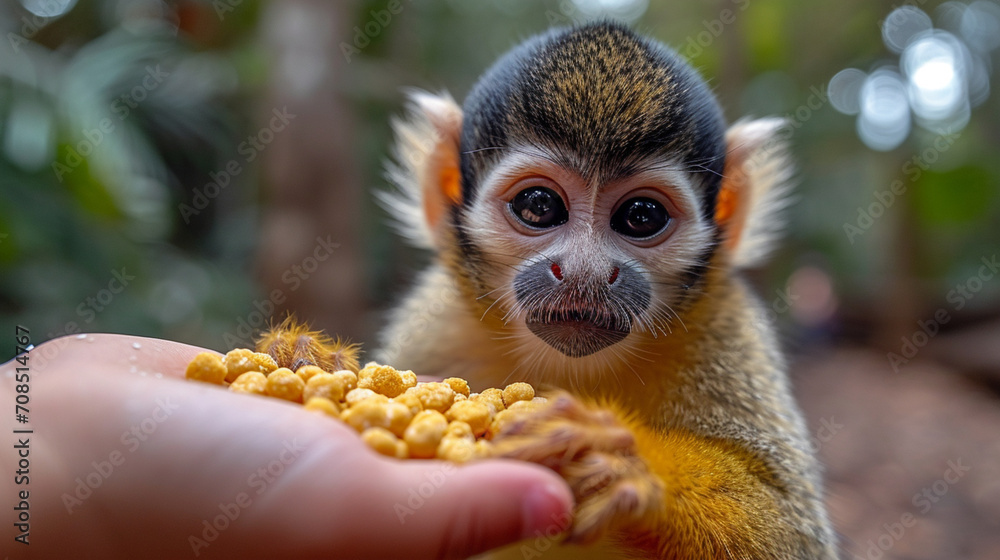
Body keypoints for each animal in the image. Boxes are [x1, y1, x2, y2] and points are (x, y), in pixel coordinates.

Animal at [370, 21, 837, 559]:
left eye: (641, 216)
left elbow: (790, 526)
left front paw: (628, 463)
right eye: (538, 206)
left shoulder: (726, 325)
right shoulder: (435, 319)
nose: (584, 272)